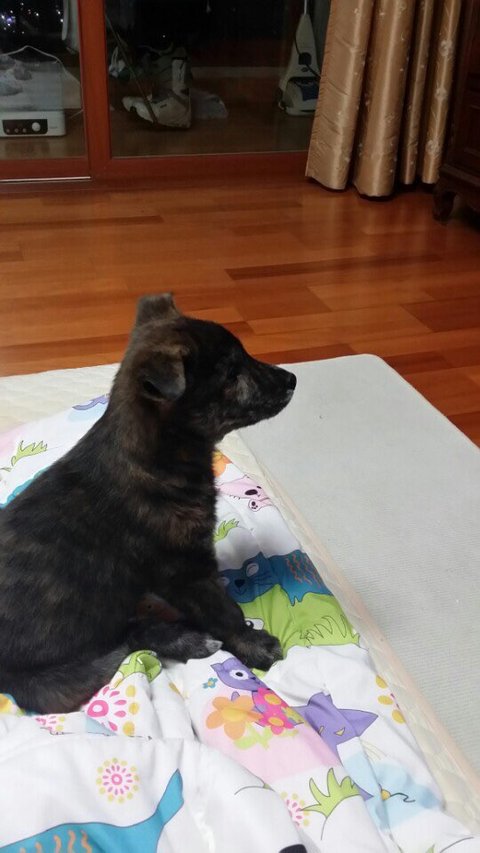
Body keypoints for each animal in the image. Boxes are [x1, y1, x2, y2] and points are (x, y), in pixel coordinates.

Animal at [0, 294, 296, 713]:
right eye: (231, 374)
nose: (292, 380)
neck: (156, 459)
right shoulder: (184, 570)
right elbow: (225, 612)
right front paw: (253, 645)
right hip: (80, 640)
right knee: (126, 639)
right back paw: (187, 640)